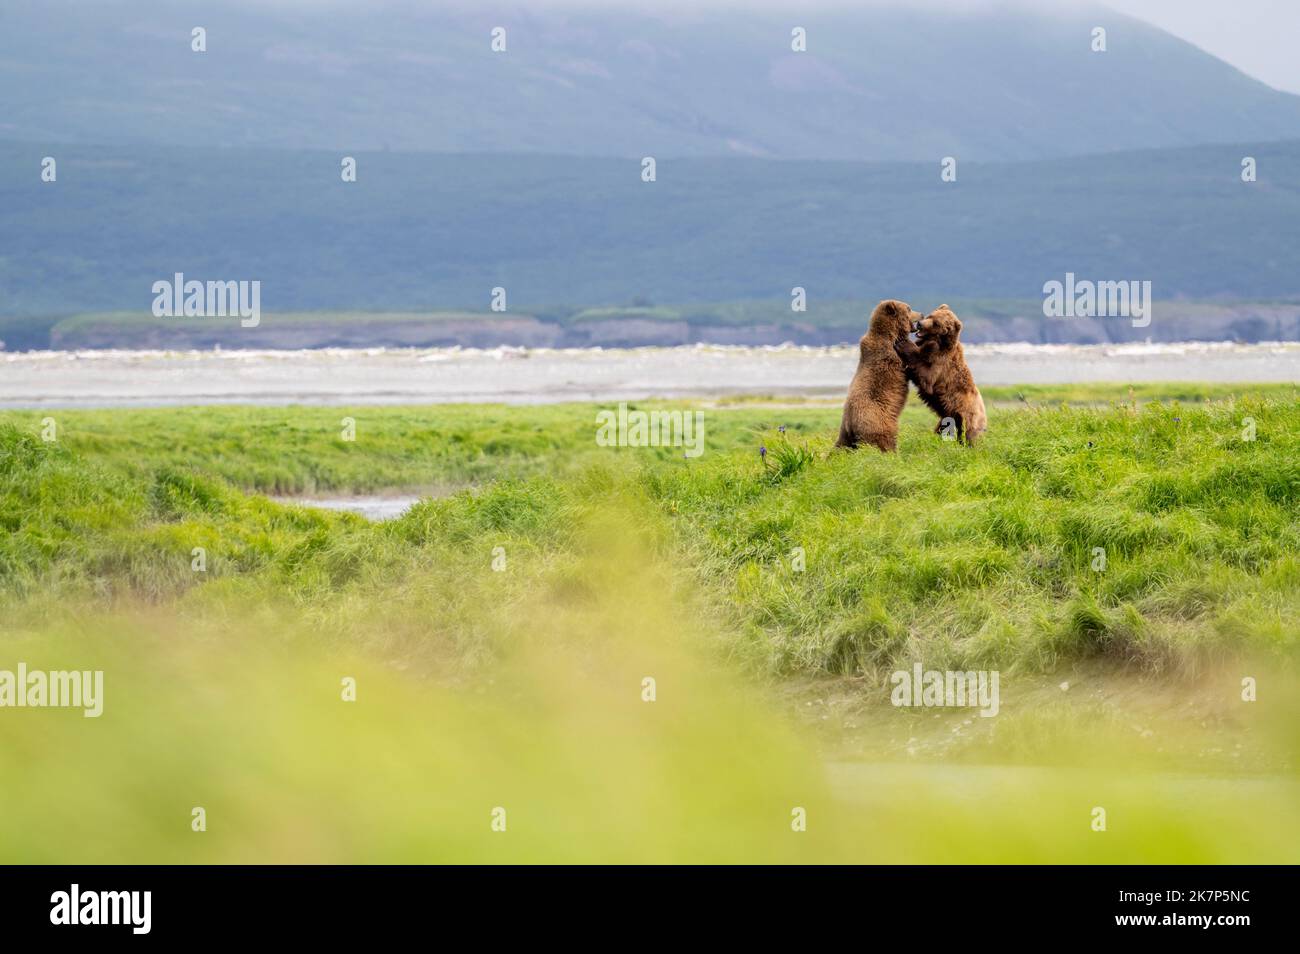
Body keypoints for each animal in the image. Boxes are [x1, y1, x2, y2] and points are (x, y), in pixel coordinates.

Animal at [832, 300, 925, 454]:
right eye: (909, 308)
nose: (922, 314)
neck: (891, 334)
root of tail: (850, 423)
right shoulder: (891, 355)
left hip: (845, 434)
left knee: (841, 446)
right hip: (878, 421)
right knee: (884, 441)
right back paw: (893, 454)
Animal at [904, 304, 982, 447]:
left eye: (936, 323)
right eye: (930, 315)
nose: (920, 324)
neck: (940, 342)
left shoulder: (941, 362)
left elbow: (926, 376)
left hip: (967, 414)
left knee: (968, 433)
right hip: (949, 415)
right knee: (944, 427)